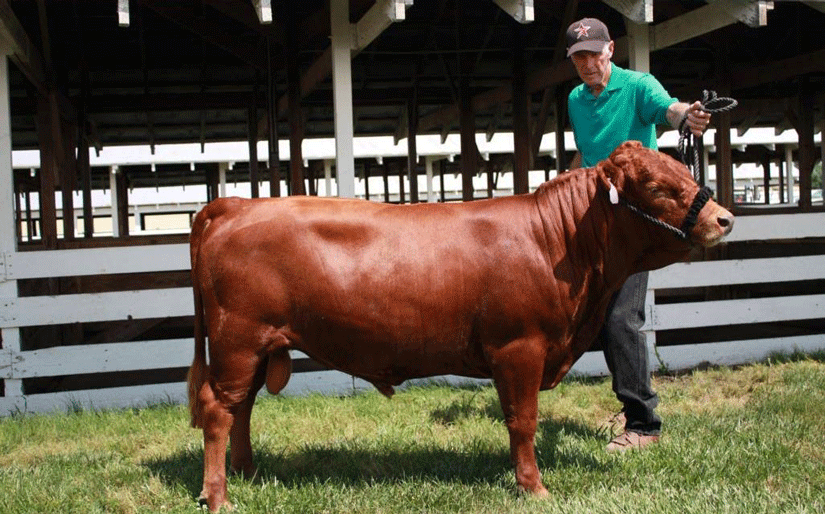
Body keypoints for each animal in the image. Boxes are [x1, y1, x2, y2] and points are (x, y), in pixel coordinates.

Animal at [187, 141, 733, 511]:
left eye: (684, 171)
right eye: (658, 187)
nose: (725, 218)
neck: (557, 241)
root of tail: (235, 204)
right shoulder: (519, 347)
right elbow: (523, 421)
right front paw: (534, 487)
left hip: (258, 347)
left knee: (242, 408)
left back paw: (248, 472)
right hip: (239, 340)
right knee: (218, 408)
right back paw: (219, 496)